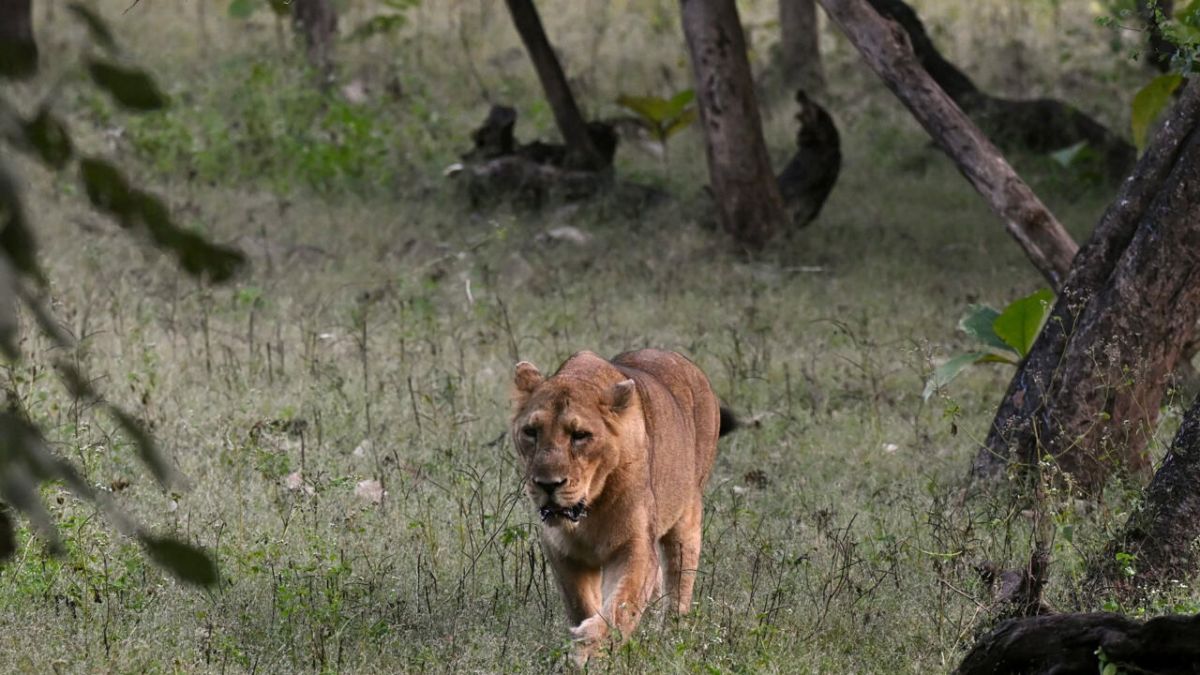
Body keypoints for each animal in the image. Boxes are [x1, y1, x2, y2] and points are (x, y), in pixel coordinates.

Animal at [509, 349, 735, 666]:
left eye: (580, 435)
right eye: (531, 431)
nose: (547, 484)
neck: (589, 509)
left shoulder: (636, 546)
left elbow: (621, 606)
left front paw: (590, 651)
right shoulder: (562, 551)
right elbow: (582, 603)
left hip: (686, 520)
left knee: (678, 584)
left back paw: (671, 636)